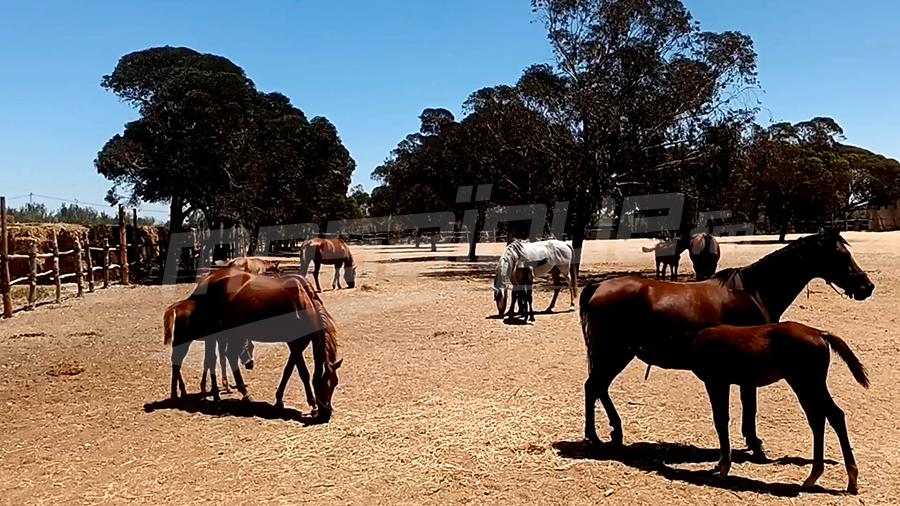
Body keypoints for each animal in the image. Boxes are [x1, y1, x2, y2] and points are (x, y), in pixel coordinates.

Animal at [580, 231, 876, 456]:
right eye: (842, 256)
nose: (867, 286)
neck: (754, 292)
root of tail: (598, 287)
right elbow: (750, 404)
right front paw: (755, 444)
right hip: (615, 352)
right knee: (594, 386)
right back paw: (597, 436)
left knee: (598, 387)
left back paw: (612, 432)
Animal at [688, 324, 864, 494]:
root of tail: (819, 333)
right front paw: (719, 464)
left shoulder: (716, 382)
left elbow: (721, 420)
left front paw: (724, 467)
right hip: (808, 385)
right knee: (820, 419)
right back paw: (817, 477)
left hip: (806, 384)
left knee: (832, 416)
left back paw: (846, 479)